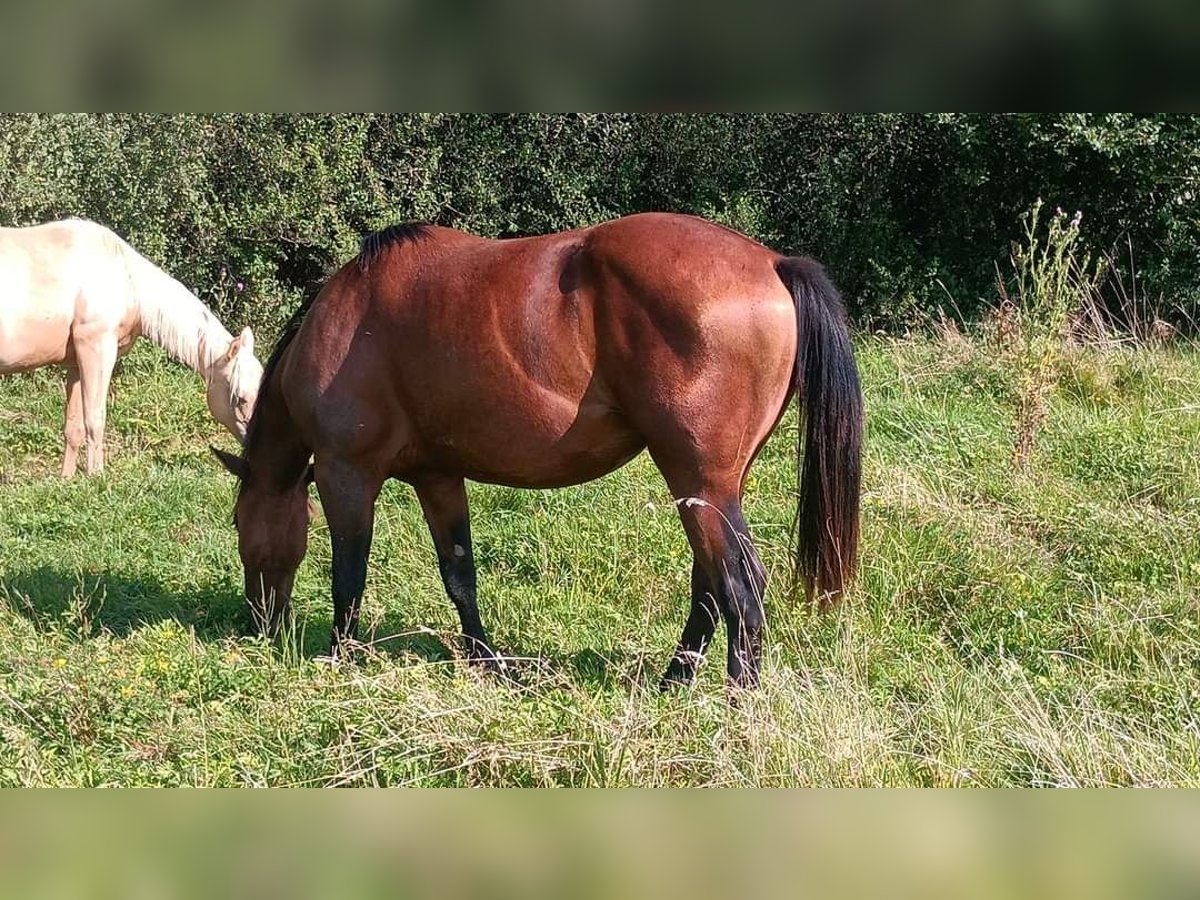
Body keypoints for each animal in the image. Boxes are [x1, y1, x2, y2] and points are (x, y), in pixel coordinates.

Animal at [0, 220, 262, 480]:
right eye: (240, 399)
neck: (125, 276)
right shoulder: (97, 349)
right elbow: (95, 418)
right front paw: (96, 477)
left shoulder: (76, 363)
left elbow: (74, 426)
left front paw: (67, 480)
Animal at [211, 214, 859, 696]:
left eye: (239, 521)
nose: (258, 622)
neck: (350, 318)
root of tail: (772, 263)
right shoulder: (437, 476)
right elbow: (459, 575)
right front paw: (485, 662)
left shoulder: (347, 474)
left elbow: (348, 576)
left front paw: (339, 661)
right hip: (711, 488)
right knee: (711, 584)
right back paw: (673, 681)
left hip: (699, 480)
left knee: (740, 587)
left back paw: (736, 702)